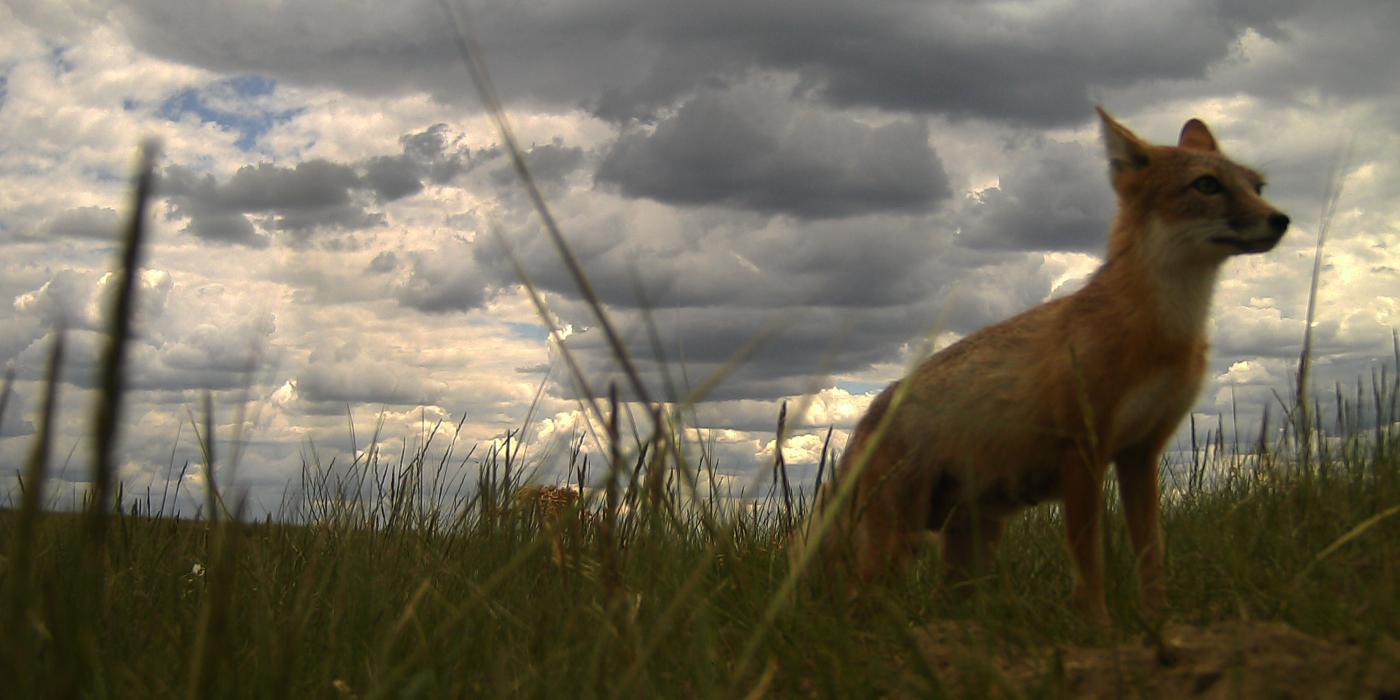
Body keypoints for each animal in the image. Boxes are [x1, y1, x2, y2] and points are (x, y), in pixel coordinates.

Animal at [812, 107, 1288, 624]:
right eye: (1207, 185)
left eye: (1256, 186)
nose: (1281, 219)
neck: (1160, 333)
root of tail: (871, 412)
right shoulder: (1083, 454)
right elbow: (1091, 564)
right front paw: (1099, 628)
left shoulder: (1140, 454)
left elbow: (1152, 557)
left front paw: (1160, 624)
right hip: (900, 542)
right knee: (860, 604)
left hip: (969, 547)